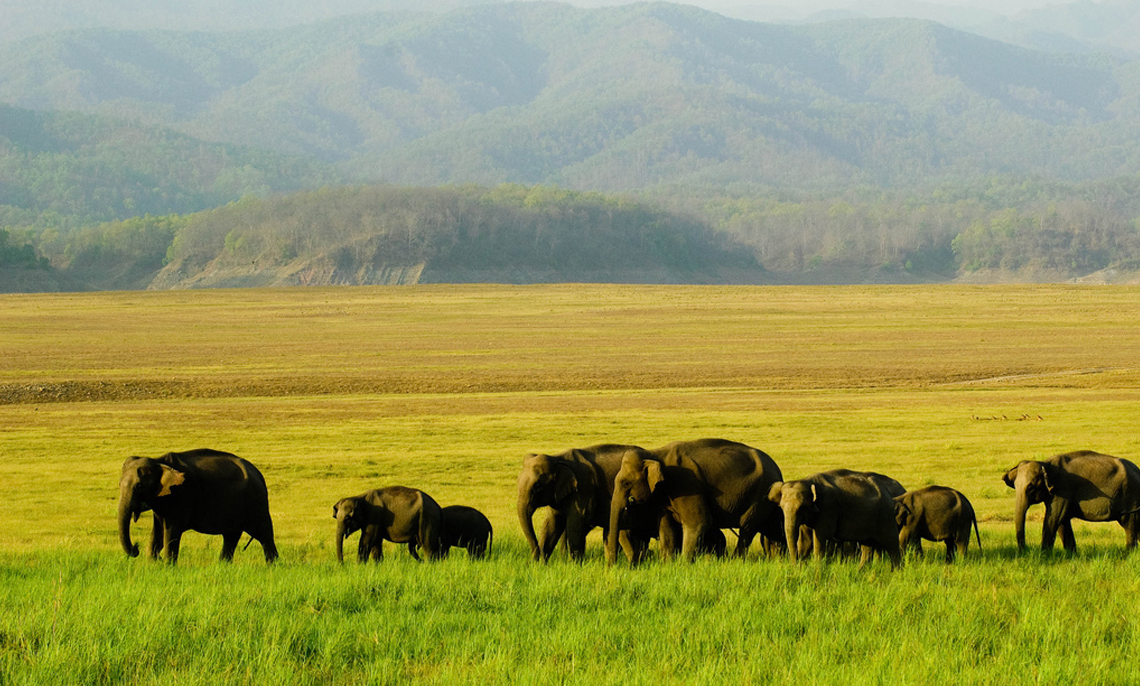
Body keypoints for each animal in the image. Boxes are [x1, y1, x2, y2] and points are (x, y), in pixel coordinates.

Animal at [116, 446, 278, 562]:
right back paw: (223, 565)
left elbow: (171, 532)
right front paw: (154, 561)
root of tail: (259, 475)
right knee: (231, 537)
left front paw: (167, 565)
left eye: (139, 486)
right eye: (119, 485)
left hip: (255, 502)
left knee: (264, 535)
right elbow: (159, 531)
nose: (136, 547)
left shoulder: (180, 496)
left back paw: (273, 566)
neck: (158, 461)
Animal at [517, 444, 652, 560]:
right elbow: (551, 524)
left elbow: (576, 524)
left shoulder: (584, 488)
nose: (535, 556)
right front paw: (540, 566)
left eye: (537, 486)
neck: (557, 458)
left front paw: (574, 567)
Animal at [606, 437, 784, 560]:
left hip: (759, 496)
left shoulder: (687, 483)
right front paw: (667, 564)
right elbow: (666, 526)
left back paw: (736, 560)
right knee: (771, 527)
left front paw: (683, 565)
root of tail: (777, 469)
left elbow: (699, 522)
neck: (655, 453)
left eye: (626, 483)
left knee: (747, 528)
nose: (612, 566)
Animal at [770, 464, 902, 565]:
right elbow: (805, 541)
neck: (807, 481)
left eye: (802, 507)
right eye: (781, 508)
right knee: (867, 546)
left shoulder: (828, 507)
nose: (795, 564)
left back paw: (895, 573)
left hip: (885, 516)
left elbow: (820, 538)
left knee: (892, 545)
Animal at [1007, 448, 1140, 549]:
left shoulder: (1063, 489)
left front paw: (1043, 556)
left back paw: (1128, 554)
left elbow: (1054, 518)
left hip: (1130, 496)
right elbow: (1063, 522)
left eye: (1031, 486)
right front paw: (1071, 556)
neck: (1044, 463)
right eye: (1015, 486)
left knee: (1129, 526)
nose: (1024, 551)